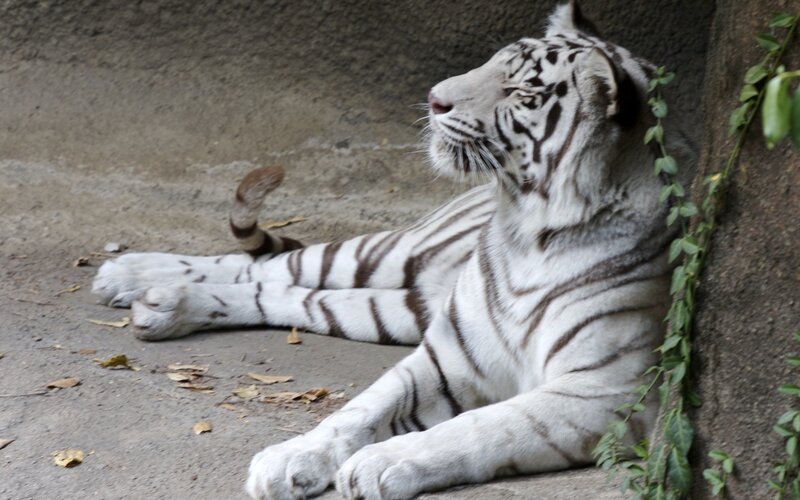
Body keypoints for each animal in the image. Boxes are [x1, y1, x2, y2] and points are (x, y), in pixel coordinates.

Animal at [91, 1, 689, 498]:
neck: (529, 231)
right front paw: (290, 458)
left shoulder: (606, 391)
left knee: (290, 295)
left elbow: (482, 426)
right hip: (389, 254)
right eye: (491, 63)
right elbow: (362, 407)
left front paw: (379, 464)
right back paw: (131, 277)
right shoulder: (452, 352)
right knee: (271, 264)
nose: (435, 97)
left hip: (400, 306)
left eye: (522, 94)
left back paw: (161, 303)